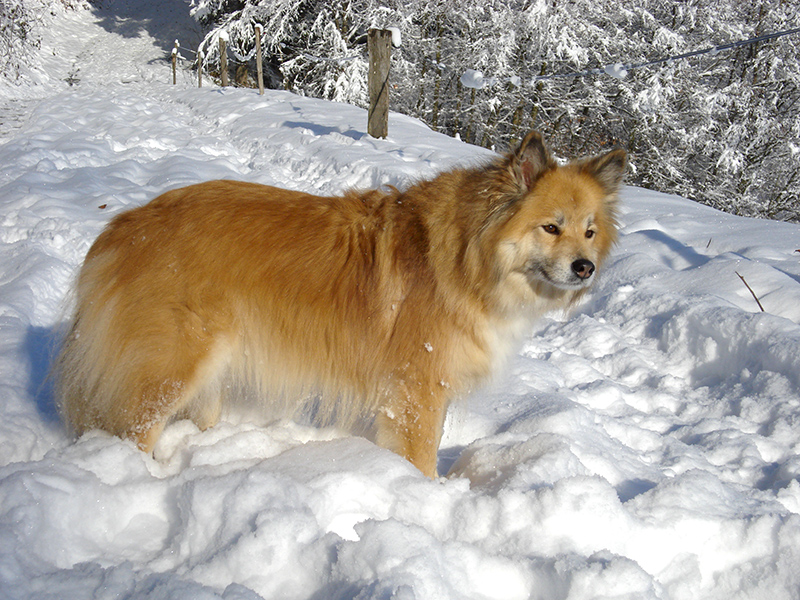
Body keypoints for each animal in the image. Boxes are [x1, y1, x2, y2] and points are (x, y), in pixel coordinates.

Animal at [56, 132, 624, 478]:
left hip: (210, 373)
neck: (467, 256)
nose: (585, 269)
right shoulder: (415, 391)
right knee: (130, 430)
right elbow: (421, 458)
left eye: (589, 231)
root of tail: (123, 226)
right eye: (550, 227)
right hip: (170, 366)